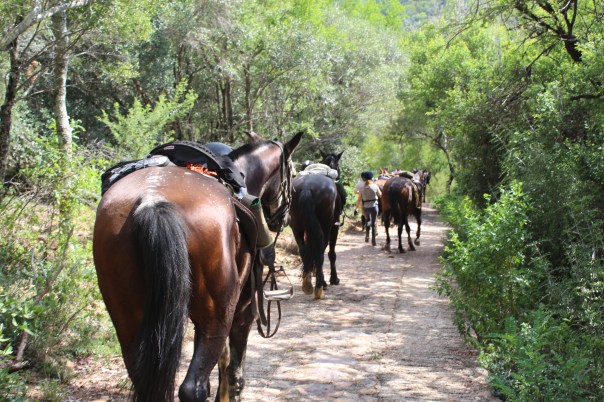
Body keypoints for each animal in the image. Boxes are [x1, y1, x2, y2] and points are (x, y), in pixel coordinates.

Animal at [92, 131, 303, 401]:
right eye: (293, 175)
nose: (284, 219)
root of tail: (151, 201)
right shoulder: (243, 311)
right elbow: (234, 374)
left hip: (128, 320)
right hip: (217, 317)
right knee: (194, 388)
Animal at [289, 151, 346, 300]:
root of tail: (307, 188)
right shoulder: (334, 227)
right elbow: (331, 253)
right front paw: (333, 279)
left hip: (296, 226)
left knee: (303, 251)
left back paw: (307, 284)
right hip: (325, 226)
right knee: (320, 251)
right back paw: (320, 287)